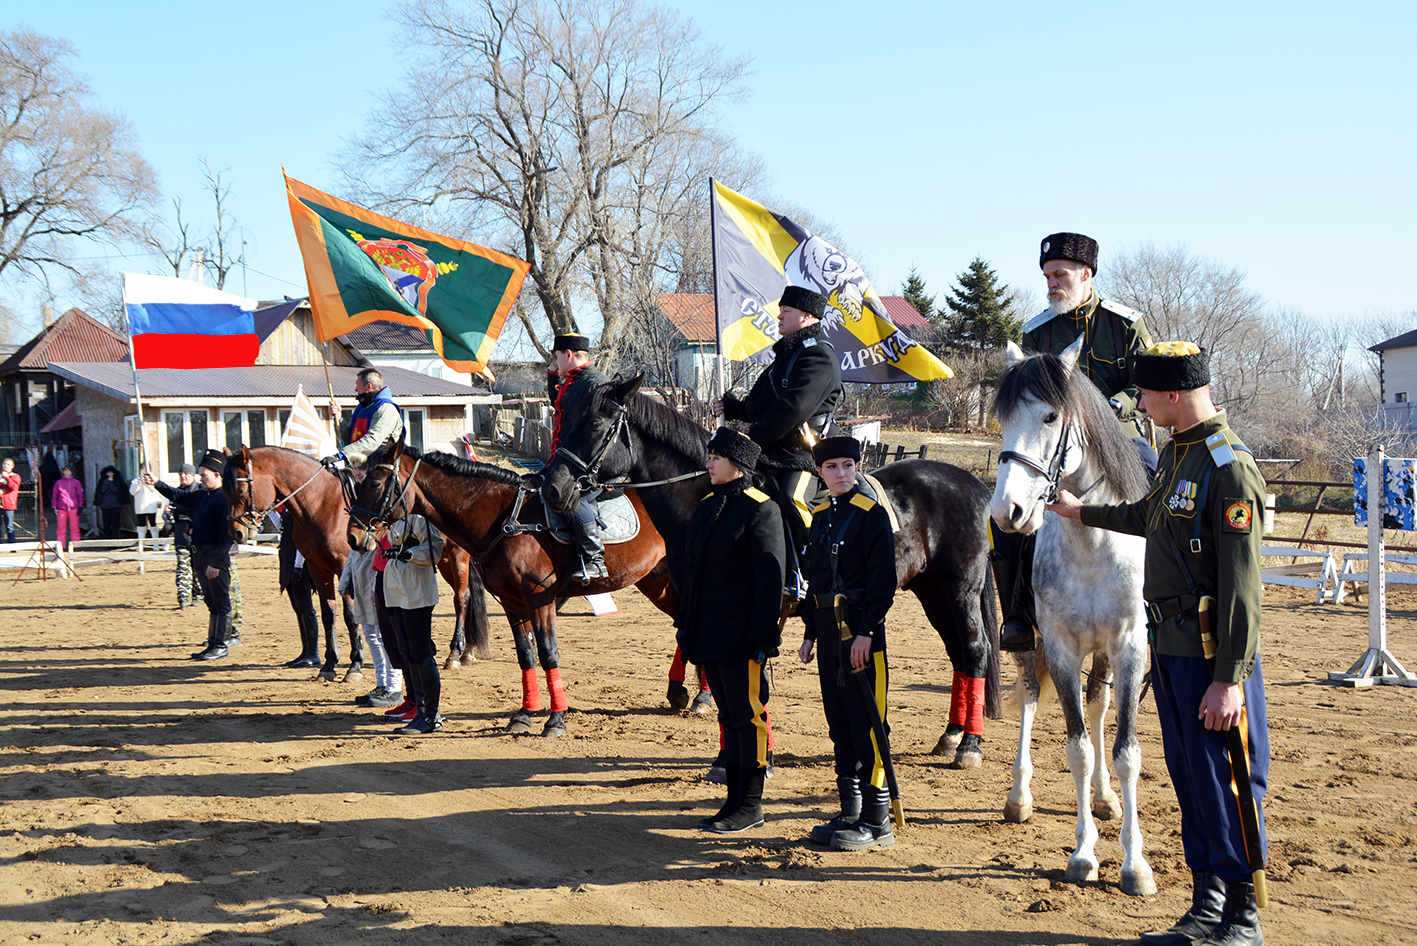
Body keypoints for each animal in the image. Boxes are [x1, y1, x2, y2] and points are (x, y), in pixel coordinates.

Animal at [222, 444, 487, 676]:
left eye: (241, 490)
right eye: (224, 491)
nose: (236, 532)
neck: (320, 502)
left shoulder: (344, 567)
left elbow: (350, 616)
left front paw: (355, 664)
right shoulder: (318, 569)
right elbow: (328, 615)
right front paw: (329, 664)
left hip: (457, 556)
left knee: (461, 599)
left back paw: (455, 653)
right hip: (443, 561)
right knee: (466, 596)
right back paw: (467, 652)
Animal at [348, 439, 680, 736]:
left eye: (375, 483)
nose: (353, 536)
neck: (507, 520)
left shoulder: (539, 599)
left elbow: (548, 652)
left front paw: (555, 719)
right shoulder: (512, 603)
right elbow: (526, 655)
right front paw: (525, 714)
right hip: (658, 583)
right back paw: (683, 695)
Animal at [535, 371, 1003, 770]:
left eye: (596, 423)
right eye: (565, 418)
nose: (551, 488)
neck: (714, 500)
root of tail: (974, 485)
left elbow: (747, 687)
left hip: (959, 589)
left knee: (976, 648)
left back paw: (969, 745)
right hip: (932, 591)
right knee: (959, 654)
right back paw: (950, 735)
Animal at [991, 335, 1156, 900]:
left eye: (1049, 416)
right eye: (1002, 419)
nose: (1007, 512)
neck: (1093, 537)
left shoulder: (1129, 649)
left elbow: (1125, 751)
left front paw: (1135, 864)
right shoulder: (1061, 648)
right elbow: (1078, 748)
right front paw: (1084, 855)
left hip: (1105, 653)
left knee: (1101, 706)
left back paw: (1105, 798)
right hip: (1029, 643)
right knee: (1030, 697)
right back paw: (1019, 795)